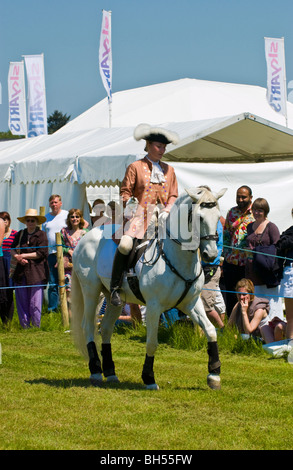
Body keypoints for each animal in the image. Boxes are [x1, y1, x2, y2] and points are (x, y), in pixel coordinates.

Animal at [70, 187, 226, 390]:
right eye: (199, 217)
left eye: (218, 216)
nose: (211, 255)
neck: (177, 257)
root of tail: (85, 237)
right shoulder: (154, 307)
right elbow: (152, 342)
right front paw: (149, 378)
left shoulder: (191, 304)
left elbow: (210, 330)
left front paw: (214, 375)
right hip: (91, 291)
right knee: (88, 326)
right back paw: (96, 371)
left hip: (113, 299)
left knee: (105, 329)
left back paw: (110, 373)